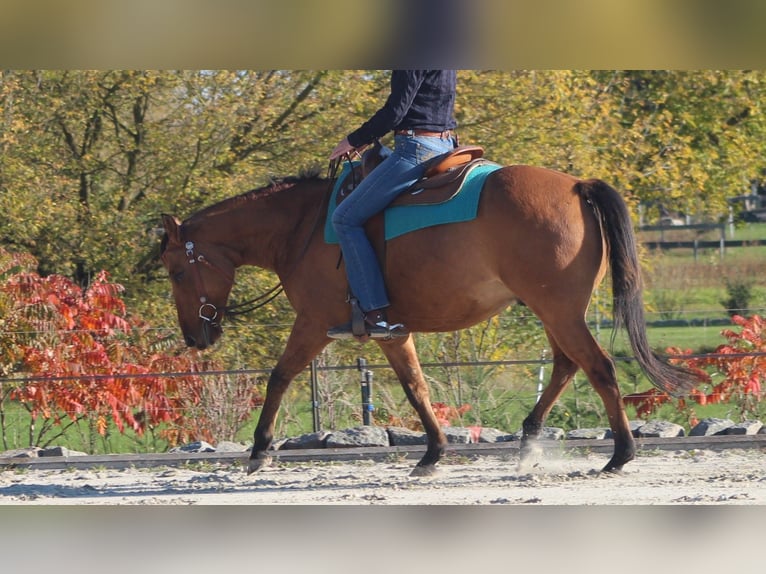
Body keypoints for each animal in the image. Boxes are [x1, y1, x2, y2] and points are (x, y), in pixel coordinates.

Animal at [160, 161, 704, 476]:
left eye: (176, 271)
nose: (195, 336)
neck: (302, 227)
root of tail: (575, 186)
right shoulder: (391, 333)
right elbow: (416, 387)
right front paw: (433, 453)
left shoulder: (314, 323)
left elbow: (279, 377)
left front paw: (259, 450)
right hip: (553, 310)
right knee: (569, 366)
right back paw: (530, 438)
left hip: (558, 309)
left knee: (599, 368)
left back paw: (620, 455)